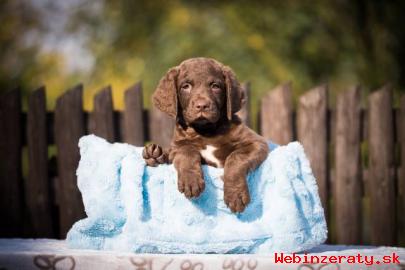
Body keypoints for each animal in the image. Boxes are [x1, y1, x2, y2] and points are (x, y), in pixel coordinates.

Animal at [142, 57, 268, 213]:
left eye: (215, 86)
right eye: (186, 86)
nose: (202, 105)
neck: (206, 131)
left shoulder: (256, 142)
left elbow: (235, 158)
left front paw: (235, 194)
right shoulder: (179, 145)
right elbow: (187, 152)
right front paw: (191, 181)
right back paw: (153, 154)